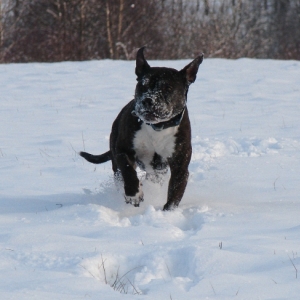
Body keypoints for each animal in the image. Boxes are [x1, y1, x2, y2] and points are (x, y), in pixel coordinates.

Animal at [79, 47, 203, 211]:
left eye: (168, 88)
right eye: (143, 85)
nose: (148, 100)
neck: (157, 127)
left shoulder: (180, 165)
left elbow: (175, 192)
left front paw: (168, 212)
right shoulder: (123, 150)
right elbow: (128, 171)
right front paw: (133, 194)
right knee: (120, 176)